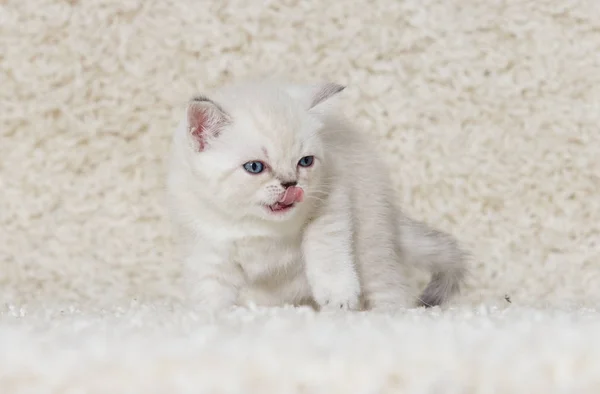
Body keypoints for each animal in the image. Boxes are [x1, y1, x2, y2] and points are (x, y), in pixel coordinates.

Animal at [165, 79, 468, 310]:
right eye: (255, 167)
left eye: (305, 162)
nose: (290, 184)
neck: (261, 228)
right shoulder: (206, 241)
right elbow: (211, 288)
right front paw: (212, 317)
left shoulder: (332, 200)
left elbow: (325, 249)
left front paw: (338, 296)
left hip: (371, 245)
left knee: (389, 287)